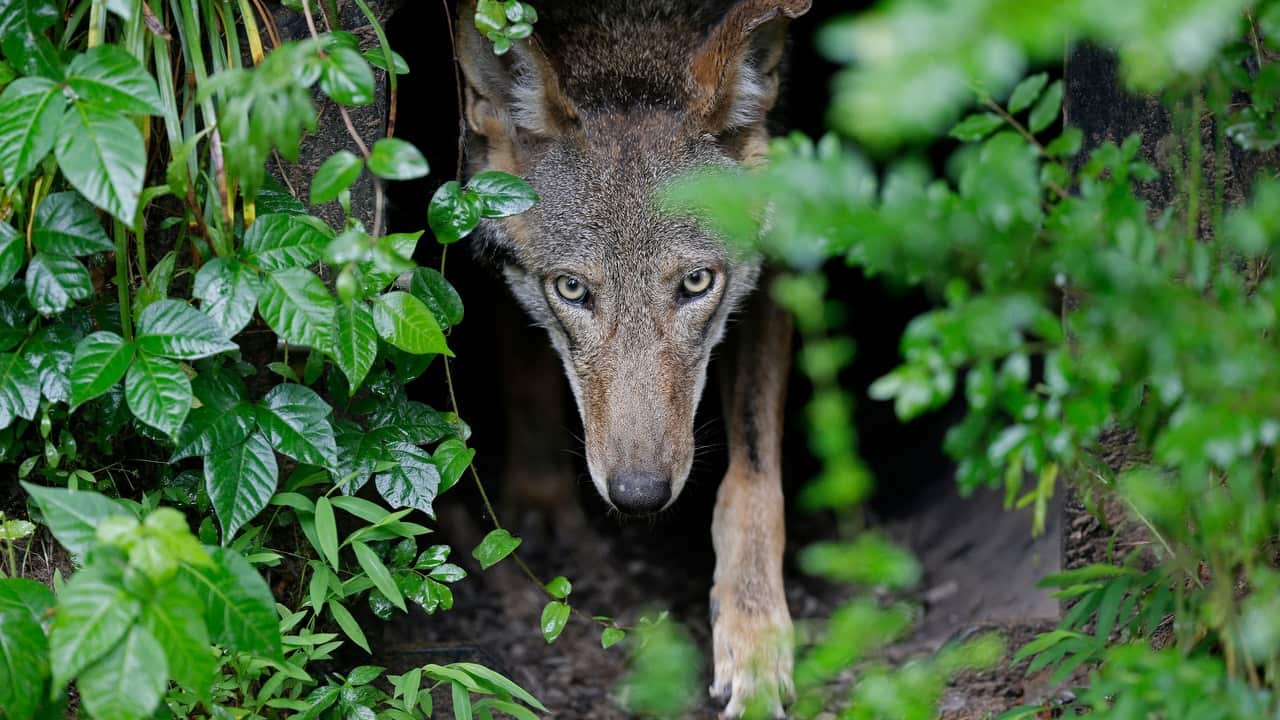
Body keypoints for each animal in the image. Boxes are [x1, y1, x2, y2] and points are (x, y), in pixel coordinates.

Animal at [455, 0, 810, 715]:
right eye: (572, 289)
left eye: (696, 283)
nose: (639, 496)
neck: (629, 31)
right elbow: (526, 376)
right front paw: (540, 504)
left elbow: (752, 479)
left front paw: (755, 638)